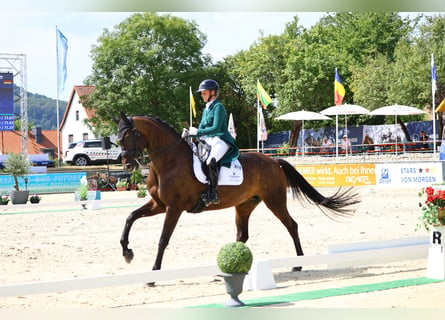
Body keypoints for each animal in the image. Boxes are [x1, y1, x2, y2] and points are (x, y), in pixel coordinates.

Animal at [116, 114, 360, 276]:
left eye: (129, 135)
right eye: (118, 137)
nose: (127, 165)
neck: (168, 162)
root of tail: (274, 161)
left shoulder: (173, 208)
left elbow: (163, 239)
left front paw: (154, 271)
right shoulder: (158, 204)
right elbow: (130, 217)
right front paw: (127, 253)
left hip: (275, 201)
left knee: (292, 226)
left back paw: (298, 263)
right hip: (245, 205)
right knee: (243, 235)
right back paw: (230, 266)